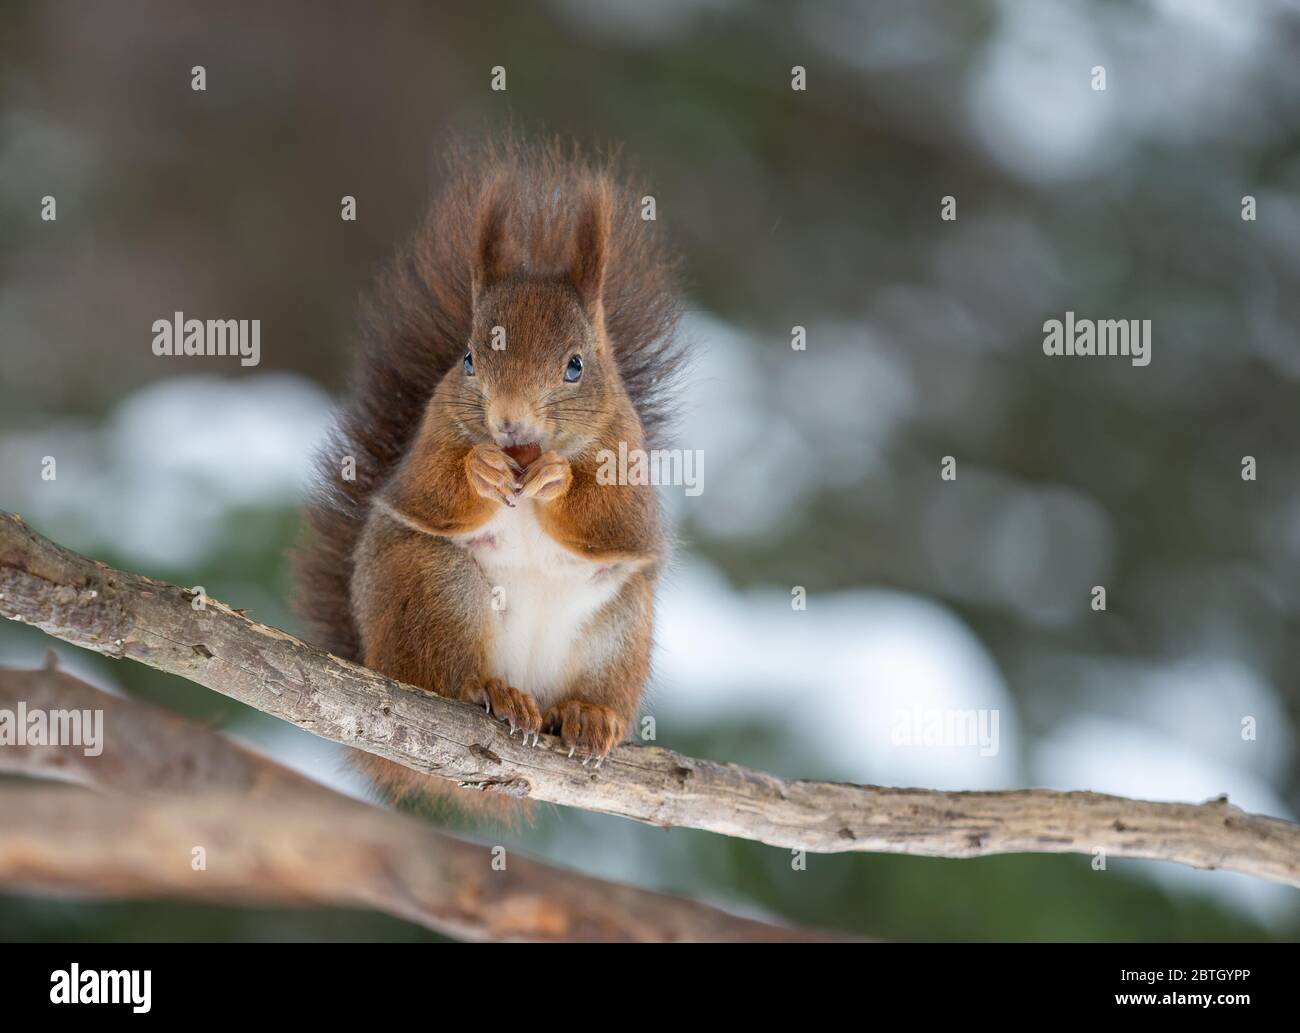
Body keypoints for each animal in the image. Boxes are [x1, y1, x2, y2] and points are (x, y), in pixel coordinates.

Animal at [292, 139, 681, 805]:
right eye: (470, 358)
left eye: (576, 366)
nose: (509, 423)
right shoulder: (432, 432)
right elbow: (432, 487)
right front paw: (481, 468)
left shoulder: (628, 455)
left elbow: (611, 514)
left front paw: (559, 479)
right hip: (434, 590)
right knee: (444, 678)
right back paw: (494, 693)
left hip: (619, 630)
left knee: (590, 694)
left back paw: (586, 714)